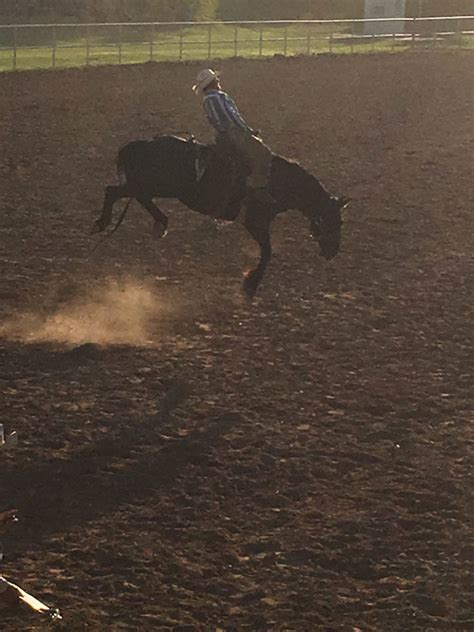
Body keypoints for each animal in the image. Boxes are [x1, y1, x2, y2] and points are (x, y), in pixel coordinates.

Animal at [93, 135, 352, 298]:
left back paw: (107, 223)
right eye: (335, 221)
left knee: (115, 191)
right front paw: (250, 285)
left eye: (341, 222)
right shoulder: (255, 222)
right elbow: (268, 252)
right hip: (157, 185)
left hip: (150, 184)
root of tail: (139, 144)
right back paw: (158, 223)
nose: (333, 251)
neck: (279, 182)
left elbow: (268, 251)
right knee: (129, 193)